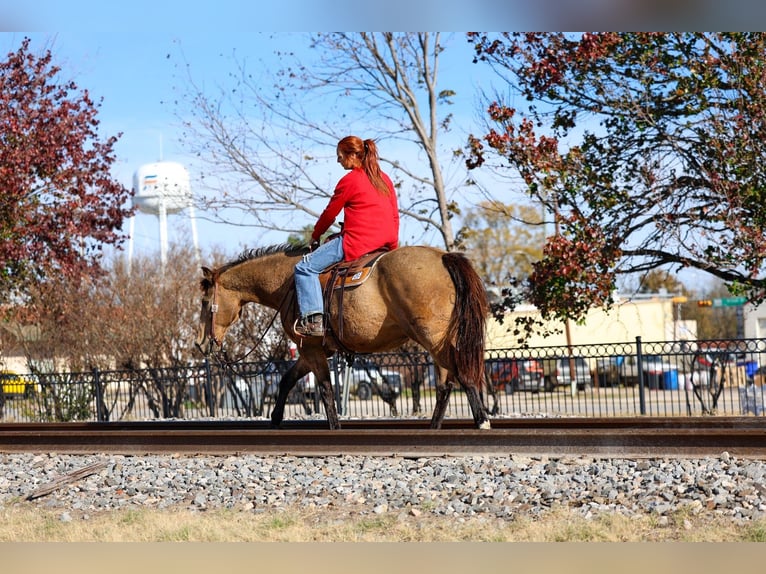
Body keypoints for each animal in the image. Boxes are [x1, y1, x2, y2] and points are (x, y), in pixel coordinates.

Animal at [195, 243, 492, 430]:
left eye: (205, 302)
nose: (200, 343)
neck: (288, 282)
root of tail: (443, 256)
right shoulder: (312, 351)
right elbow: (287, 380)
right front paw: (276, 418)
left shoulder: (311, 350)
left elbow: (326, 389)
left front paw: (335, 427)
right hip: (437, 342)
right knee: (445, 385)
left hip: (434, 339)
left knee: (461, 374)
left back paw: (482, 420)